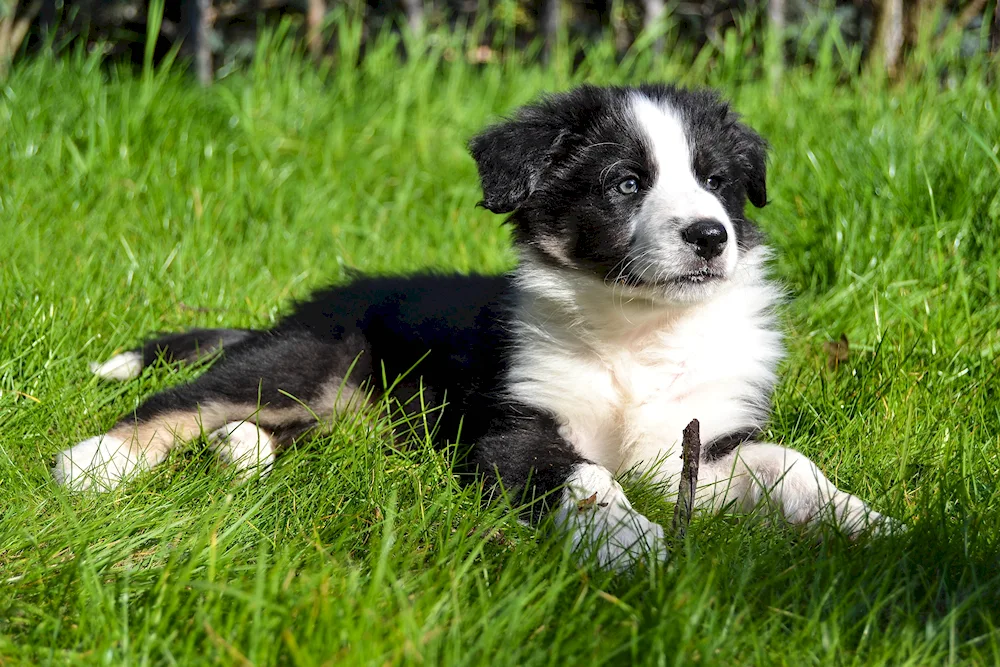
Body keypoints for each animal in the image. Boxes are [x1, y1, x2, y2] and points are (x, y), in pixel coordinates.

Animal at [52, 81, 900, 568]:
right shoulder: (515, 426)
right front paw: (628, 543)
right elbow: (586, 477)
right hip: (310, 362)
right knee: (183, 402)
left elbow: (792, 464)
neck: (638, 328)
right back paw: (90, 463)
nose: (709, 236)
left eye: (717, 181)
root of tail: (307, 304)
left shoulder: (703, 445)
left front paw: (873, 525)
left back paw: (242, 453)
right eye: (625, 183)